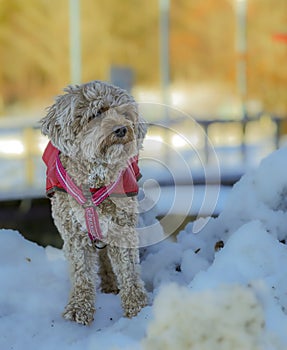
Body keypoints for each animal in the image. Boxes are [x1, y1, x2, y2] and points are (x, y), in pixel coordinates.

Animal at [40, 80, 148, 326]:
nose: (122, 129)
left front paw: (137, 307)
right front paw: (79, 308)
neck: (94, 180)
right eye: (97, 113)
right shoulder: (73, 232)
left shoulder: (123, 227)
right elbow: (81, 272)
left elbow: (128, 269)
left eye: (124, 113)